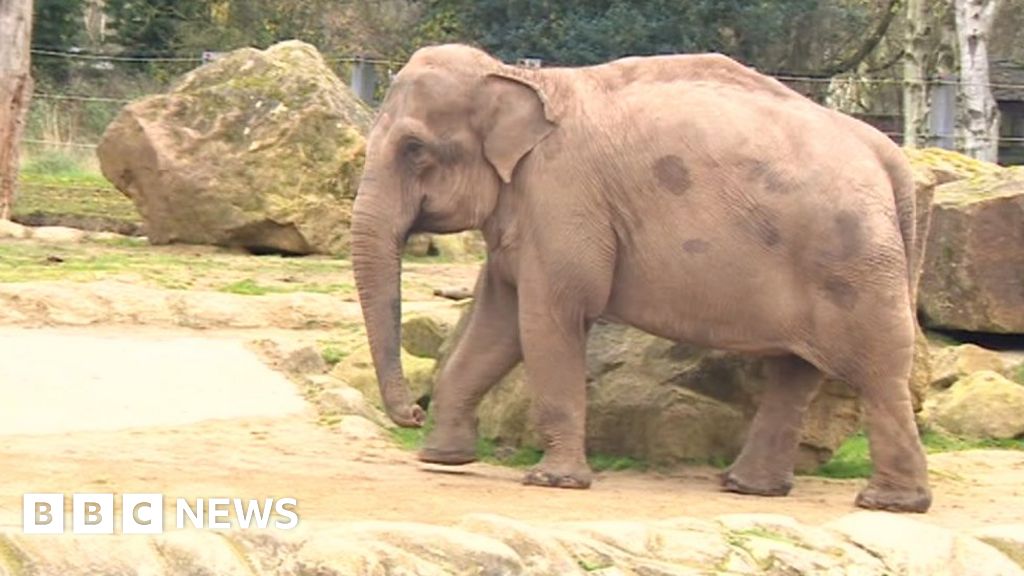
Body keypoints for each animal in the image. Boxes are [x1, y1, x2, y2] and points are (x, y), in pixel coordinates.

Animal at [354, 44, 937, 510]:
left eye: (413, 149)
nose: (412, 413)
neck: (518, 77)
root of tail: (891, 157)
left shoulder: (563, 196)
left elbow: (549, 317)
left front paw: (552, 482)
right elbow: (495, 325)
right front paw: (443, 458)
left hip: (853, 265)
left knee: (877, 371)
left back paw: (888, 504)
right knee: (797, 372)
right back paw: (750, 488)